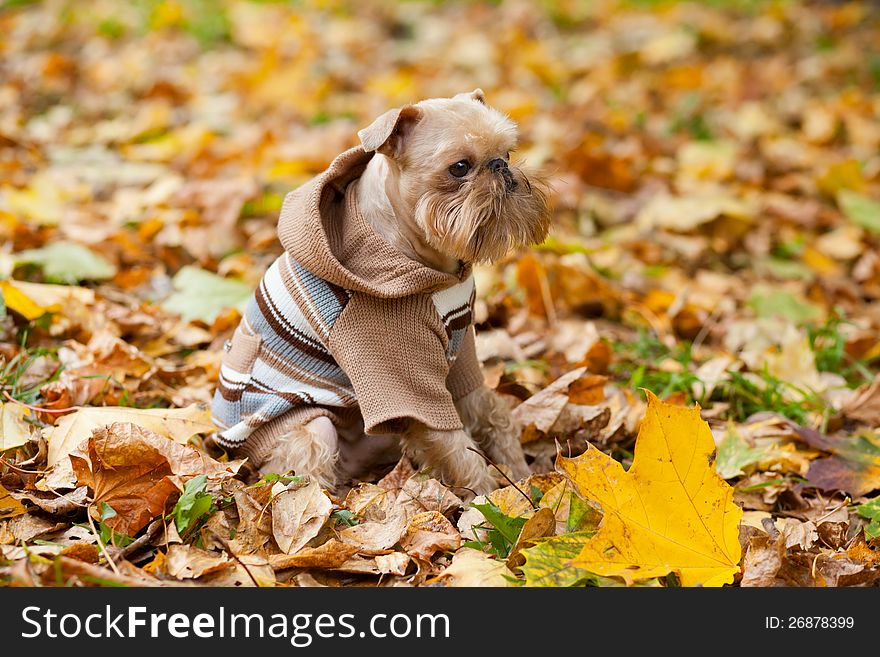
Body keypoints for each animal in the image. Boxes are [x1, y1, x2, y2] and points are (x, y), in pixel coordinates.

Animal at [210, 89, 548, 494]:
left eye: (508, 153)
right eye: (460, 167)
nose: (500, 166)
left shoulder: (461, 354)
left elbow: (491, 412)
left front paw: (525, 479)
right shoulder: (397, 376)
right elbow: (458, 446)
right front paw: (487, 499)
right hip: (309, 430)